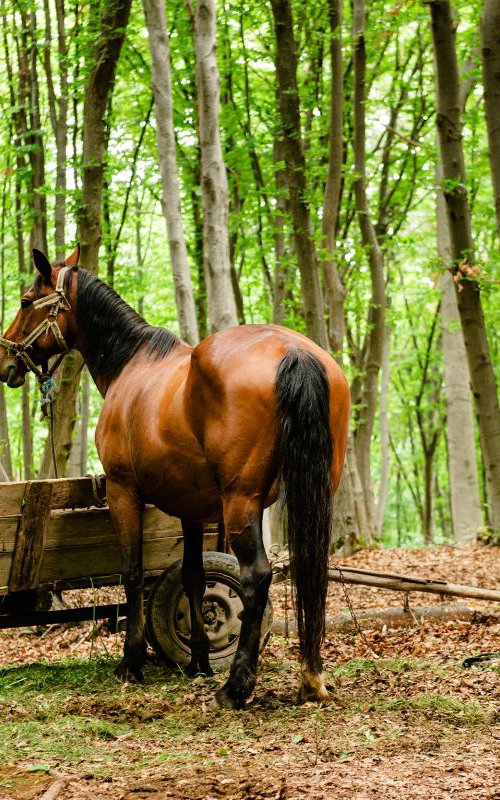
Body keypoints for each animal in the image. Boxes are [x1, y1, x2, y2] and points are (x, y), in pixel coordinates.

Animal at [0, 245, 350, 708]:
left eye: (25, 301)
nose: (4, 359)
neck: (131, 364)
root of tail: (293, 350)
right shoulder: (192, 508)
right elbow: (193, 578)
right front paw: (198, 660)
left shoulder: (122, 492)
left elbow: (132, 574)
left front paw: (131, 662)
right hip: (314, 496)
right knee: (313, 567)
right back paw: (310, 677)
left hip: (241, 503)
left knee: (256, 577)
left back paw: (236, 687)